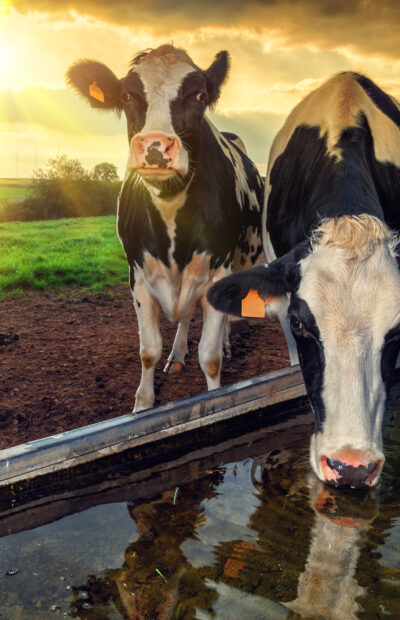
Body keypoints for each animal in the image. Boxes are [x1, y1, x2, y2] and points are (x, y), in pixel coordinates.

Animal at [67, 43, 264, 412]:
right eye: (127, 95)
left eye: (199, 95)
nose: (156, 146)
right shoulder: (139, 275)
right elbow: (148, 351)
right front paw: (143, 404)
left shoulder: (218, 270)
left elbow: (210, 357)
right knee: (184, 318)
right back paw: (177, 354)